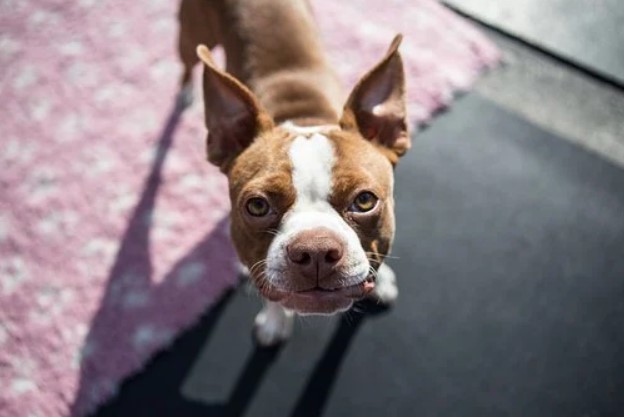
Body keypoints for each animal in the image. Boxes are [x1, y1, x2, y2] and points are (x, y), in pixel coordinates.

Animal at [176, 0, 410, 344]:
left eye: (365, 201)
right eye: (257, 206)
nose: (316, 250)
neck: (303, 118)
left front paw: (381, 281)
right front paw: (274, 322)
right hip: (191, 36)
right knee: (186, 63)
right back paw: (185, 93)